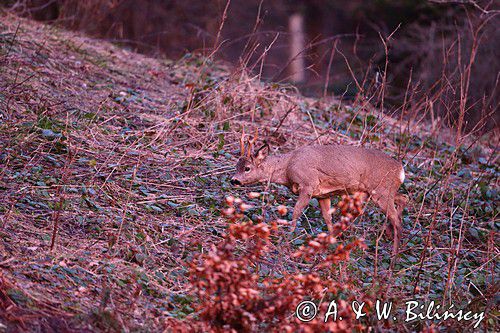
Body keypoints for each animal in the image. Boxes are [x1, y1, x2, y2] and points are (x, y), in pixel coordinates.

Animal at [232, 132, 408, 262]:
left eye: (247, 168)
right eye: (236, 166)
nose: (234, 180)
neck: (288, 167)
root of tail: (401, 170)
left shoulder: (308, 185)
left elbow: (296, 211)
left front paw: (288, 237)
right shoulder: (323, 195)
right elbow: (327, 218)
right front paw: (331, 242)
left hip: (381, 190)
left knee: (397, 220)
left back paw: (393, 258)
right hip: (378, 192)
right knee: (403, 198)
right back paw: (389, 235)